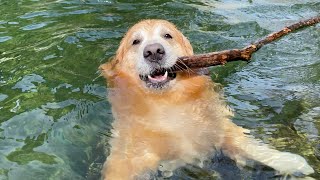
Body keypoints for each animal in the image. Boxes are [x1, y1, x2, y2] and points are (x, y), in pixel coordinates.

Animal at [99, 19, 314, 179]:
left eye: (167, 36)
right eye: (135, 42)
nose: (153, 51)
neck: (166, 102)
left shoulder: (219, 125)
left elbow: (249, 144)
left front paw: (292, 162)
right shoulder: (132, 150)